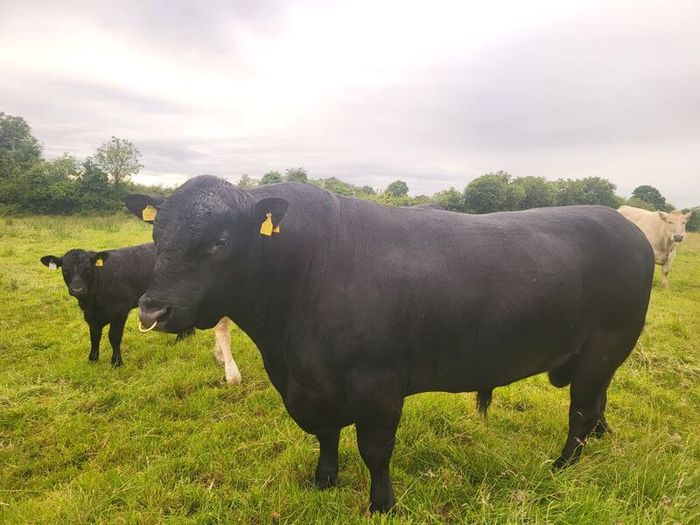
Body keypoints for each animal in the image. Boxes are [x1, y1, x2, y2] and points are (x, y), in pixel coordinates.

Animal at [40, 243, 241, 383]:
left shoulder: (119, 312)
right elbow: (94, 337)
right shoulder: (91, 316)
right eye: (65, 270)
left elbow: (114, 337)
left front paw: (116, 363)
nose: (78, 290)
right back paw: (183, 338)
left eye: (88, 269)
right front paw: (93, 360)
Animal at [125, 176, 653, 513]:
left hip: (605, 345)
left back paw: (561, 466)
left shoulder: (376, 381)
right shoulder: (312, 384)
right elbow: (326, 435)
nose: (152, 312)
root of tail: (628, 227)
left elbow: (375, 448)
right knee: (596, 403)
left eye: (220, 240)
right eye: (157, 234)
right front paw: (323, 480)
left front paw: (382, 505)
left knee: (581, 410)